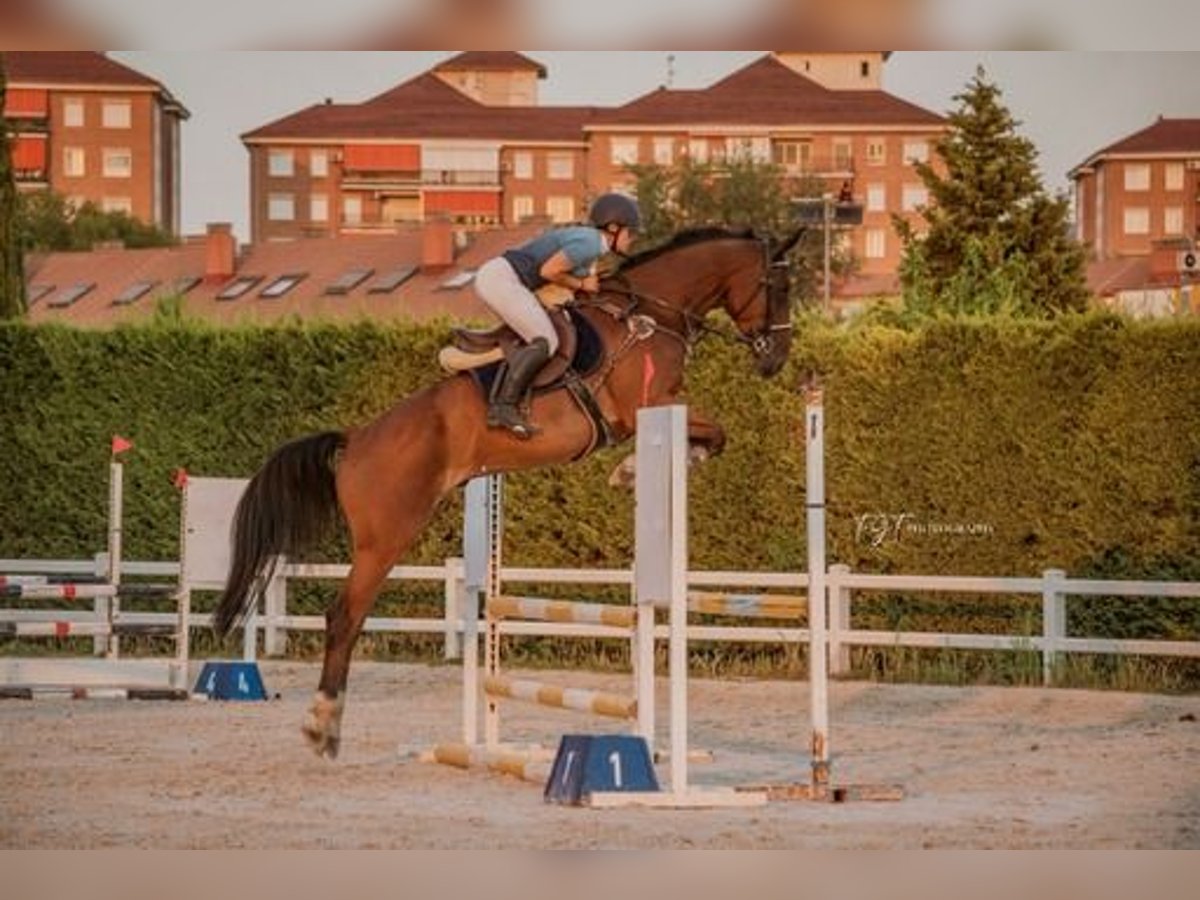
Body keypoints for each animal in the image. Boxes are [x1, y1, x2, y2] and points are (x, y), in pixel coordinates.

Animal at [211, 226, 801, 763]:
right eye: (778, 285)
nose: (776, 358)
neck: (652, 313)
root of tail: (355, 439)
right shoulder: (646, 407)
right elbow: (715, 430)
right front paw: (632, 470)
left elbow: (715, 435)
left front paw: (641, 469)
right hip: (386, 539)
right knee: (343, 619)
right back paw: (323, 725)